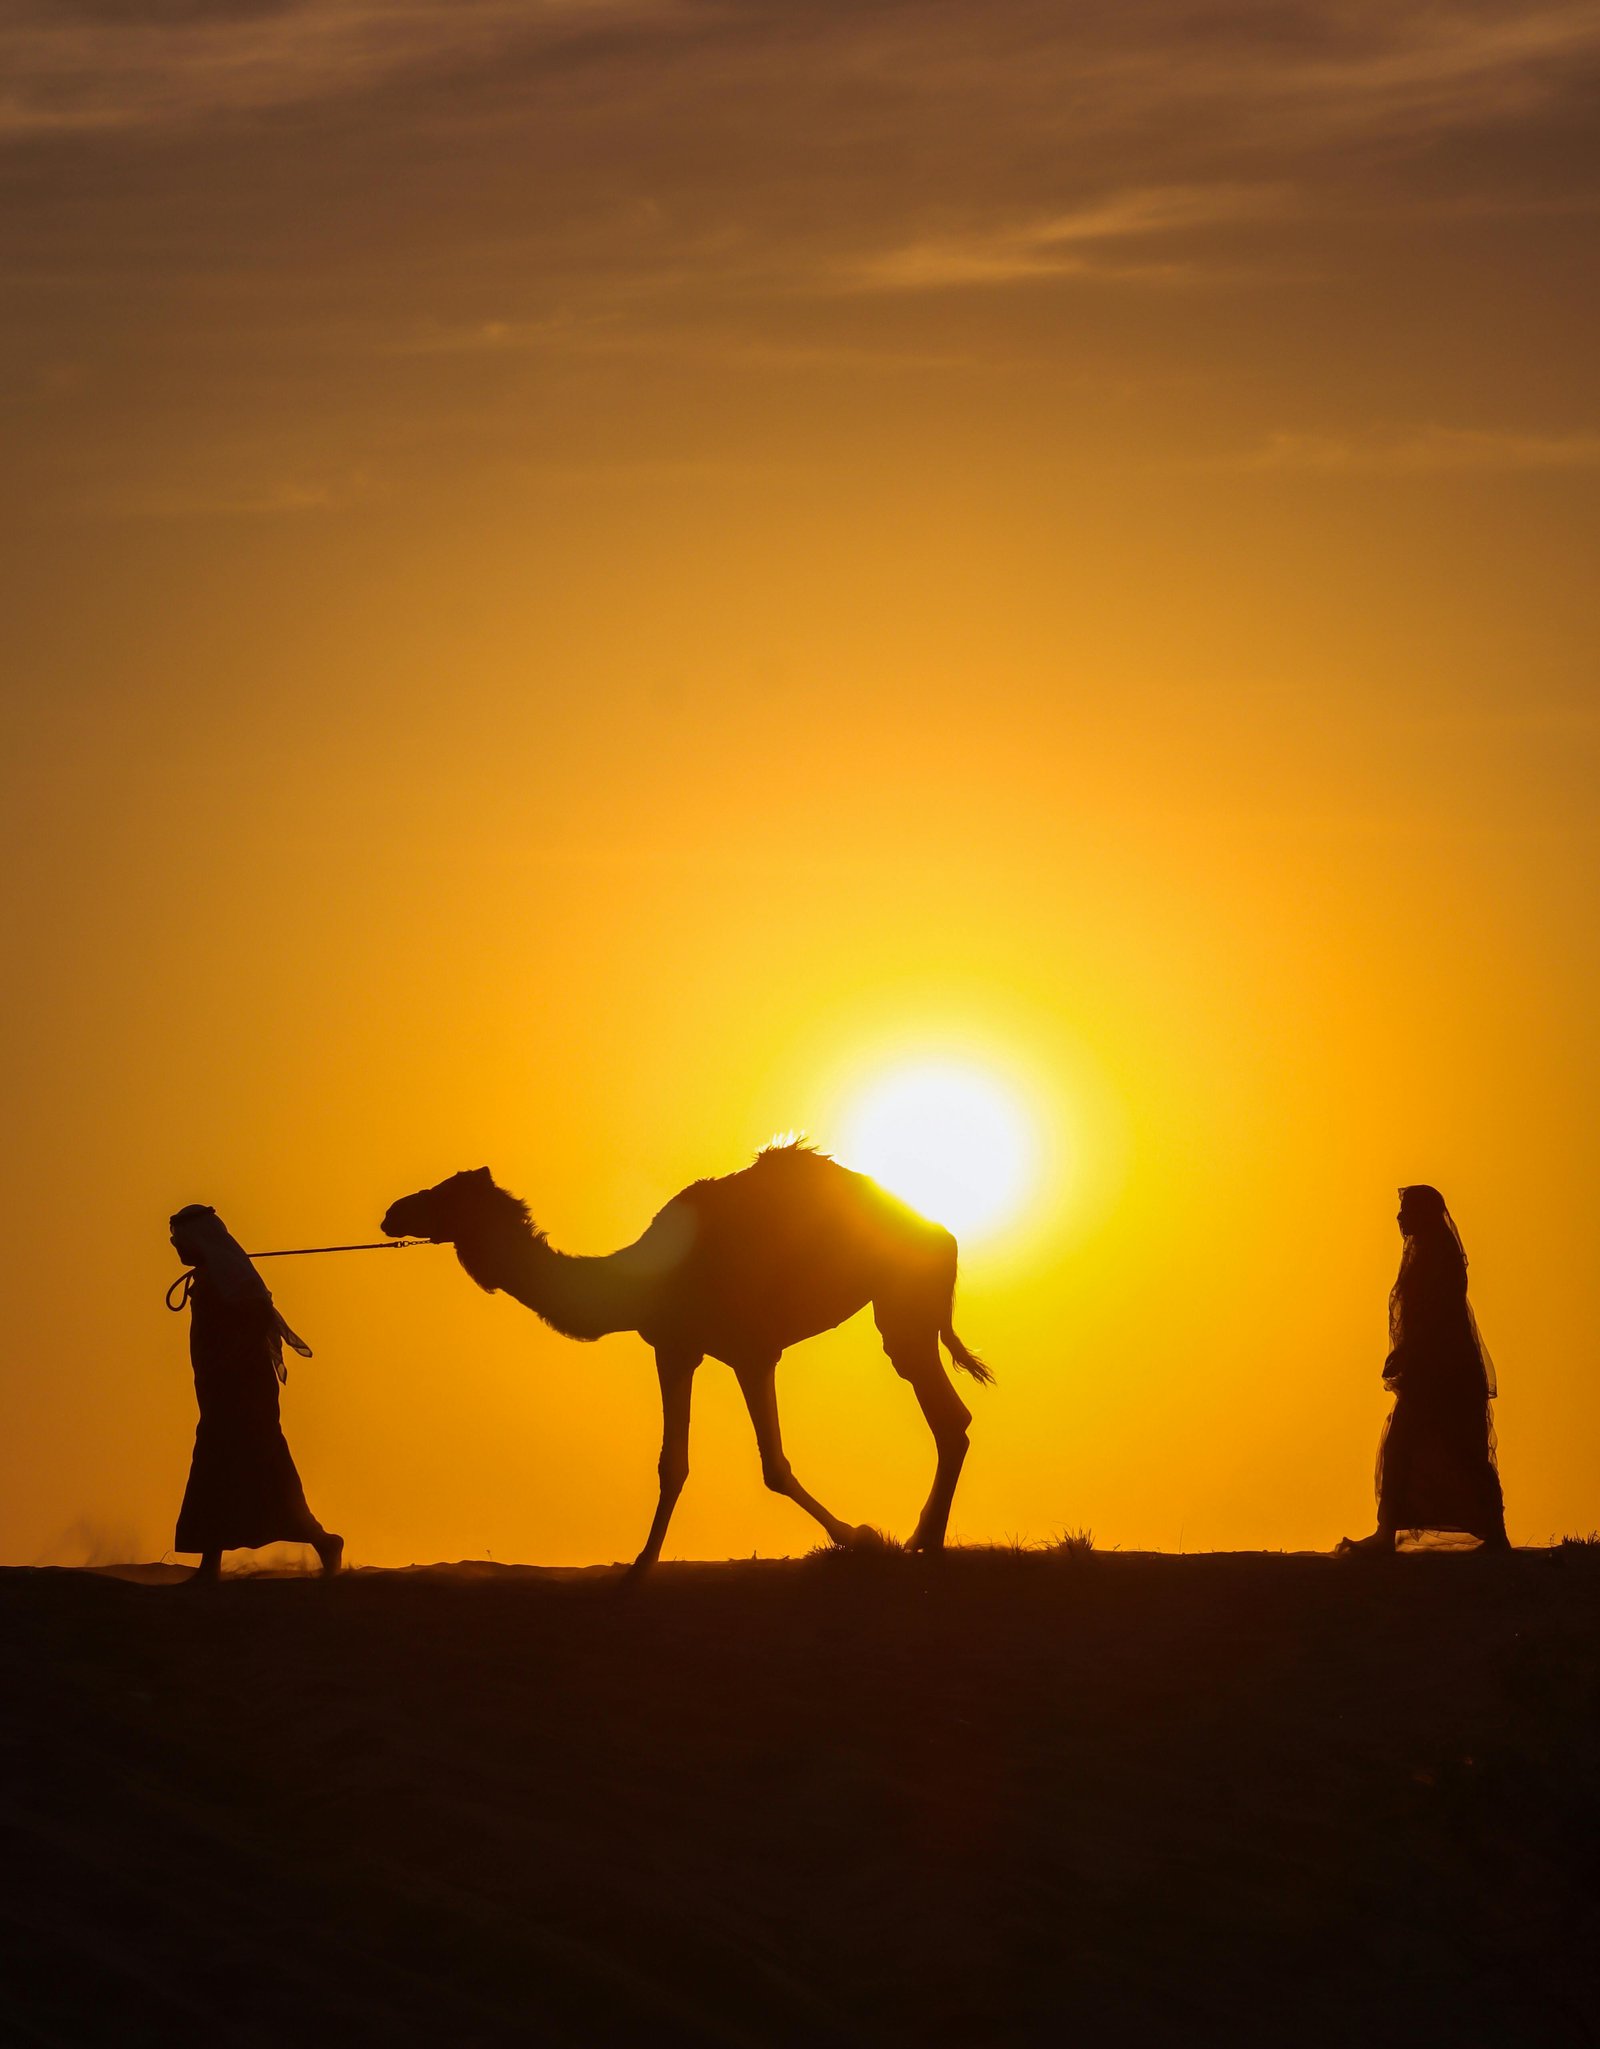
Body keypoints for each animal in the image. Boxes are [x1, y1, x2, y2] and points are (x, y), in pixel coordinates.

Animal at [381, 1143, 992, 1568]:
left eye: (446, 1194)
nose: (392, 1212)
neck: (637, 1281)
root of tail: (943, 1233)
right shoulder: (675, 1347)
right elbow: (671, 1463)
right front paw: (638, 1569)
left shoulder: (751, 1350)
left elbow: (773, 1465)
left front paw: (861, 1537)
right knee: (950, 1416)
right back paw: (923, 1539)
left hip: (903, 1299)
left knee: (946, 1413)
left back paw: (925, 1542)